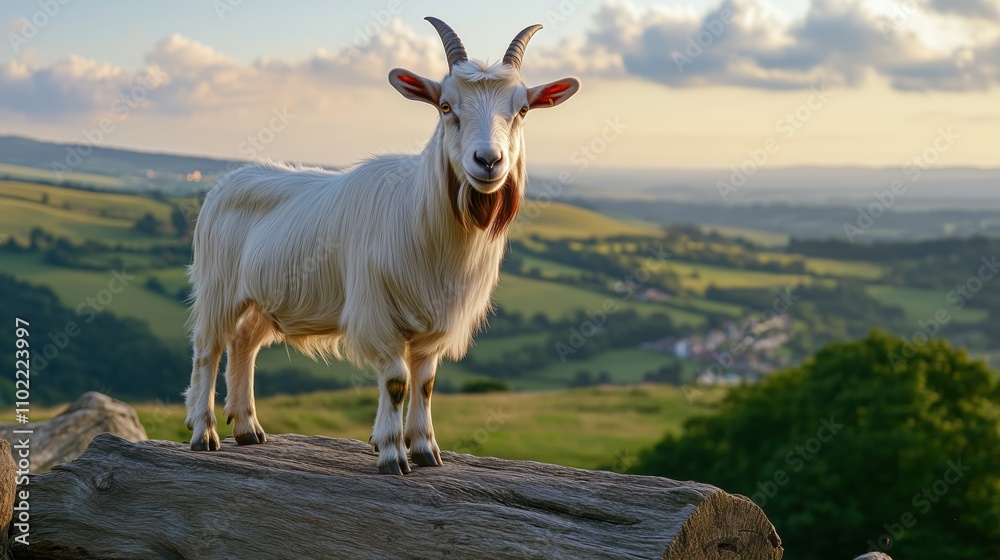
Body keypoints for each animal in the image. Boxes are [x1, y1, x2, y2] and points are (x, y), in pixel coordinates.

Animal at [184, 17, 579, 474]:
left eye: (522, 110)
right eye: (446, 106)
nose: (488, 161)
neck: (425, 220)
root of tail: (225, 184)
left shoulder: (435, 317)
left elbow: (425, 383)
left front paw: (425, 449)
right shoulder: (376, 312)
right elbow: (396, 381)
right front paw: (392, 453)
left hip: (268, 298)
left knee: (244, 342)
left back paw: (248, 428)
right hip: (217, 286)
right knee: (208, 349)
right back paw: (204, 432)